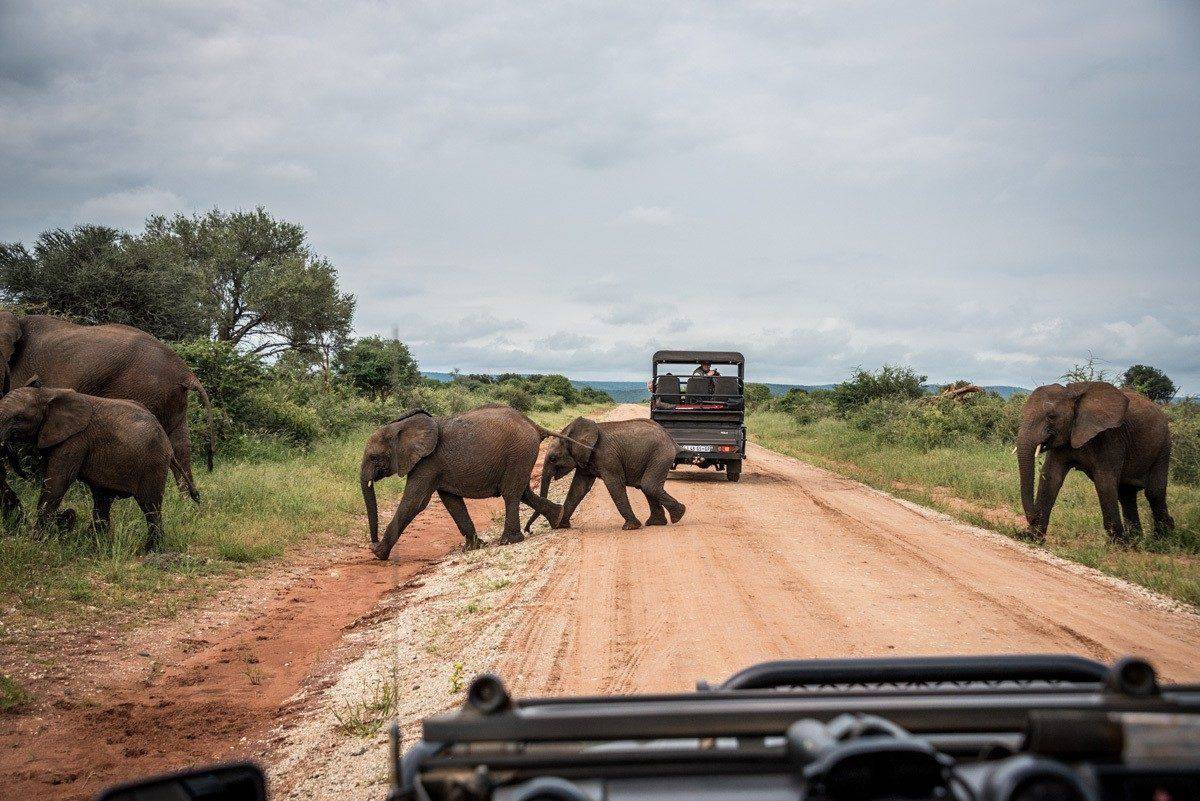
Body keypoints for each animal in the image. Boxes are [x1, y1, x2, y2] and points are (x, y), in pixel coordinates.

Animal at [0, 309, 213, 522]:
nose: (25, 476)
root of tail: (185, 372)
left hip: (142, 389)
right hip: (171, 400)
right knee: (180, 447)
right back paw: (189, 507)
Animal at [0, 378, 175, 546]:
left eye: (19, 418)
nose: (67, 514)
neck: (47, 393)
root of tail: (167, 441)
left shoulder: (75, 440)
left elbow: (58, 481)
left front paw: (37, 541)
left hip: (154, 464)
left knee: (150, 507)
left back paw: (151, 550)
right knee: (103, 501)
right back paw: (96, 545)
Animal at [360, 402, 580, 561]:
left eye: (373, 457)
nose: (373, 543)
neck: (402, 427)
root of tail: (534, 424)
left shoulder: (427, 462)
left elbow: (415, 502)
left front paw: (378, 553)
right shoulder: (437, 466)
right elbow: (451, 501)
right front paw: (473, 547)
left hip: (519, 452)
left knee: (511, 493)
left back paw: (509, 541)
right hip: (521, 456)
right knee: (523, 491)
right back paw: (558, 519)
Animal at [525, 419, 686, 532]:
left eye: (553, 458)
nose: (528, 530)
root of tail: (672, 440)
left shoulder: (607, 457)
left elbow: (614, 484)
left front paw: (630, 527)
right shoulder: (585, 460)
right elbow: (579, 488)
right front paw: (561, 525)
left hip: (660, 455)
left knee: (649, 485)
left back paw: (678, 515)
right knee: (647, 487)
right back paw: (657, 523)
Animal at [1017, 378, 1176, 541]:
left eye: (1051, 417)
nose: (1033, 517)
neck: (1073, 394)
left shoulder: (1111, 438)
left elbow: (1104, 482)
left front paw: (1118, 543)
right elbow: (1051, 477)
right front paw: (1031, 537)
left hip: (1163, 445)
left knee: (1154, 492)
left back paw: (1161, 539)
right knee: (1126, 493)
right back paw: (1135, 541)